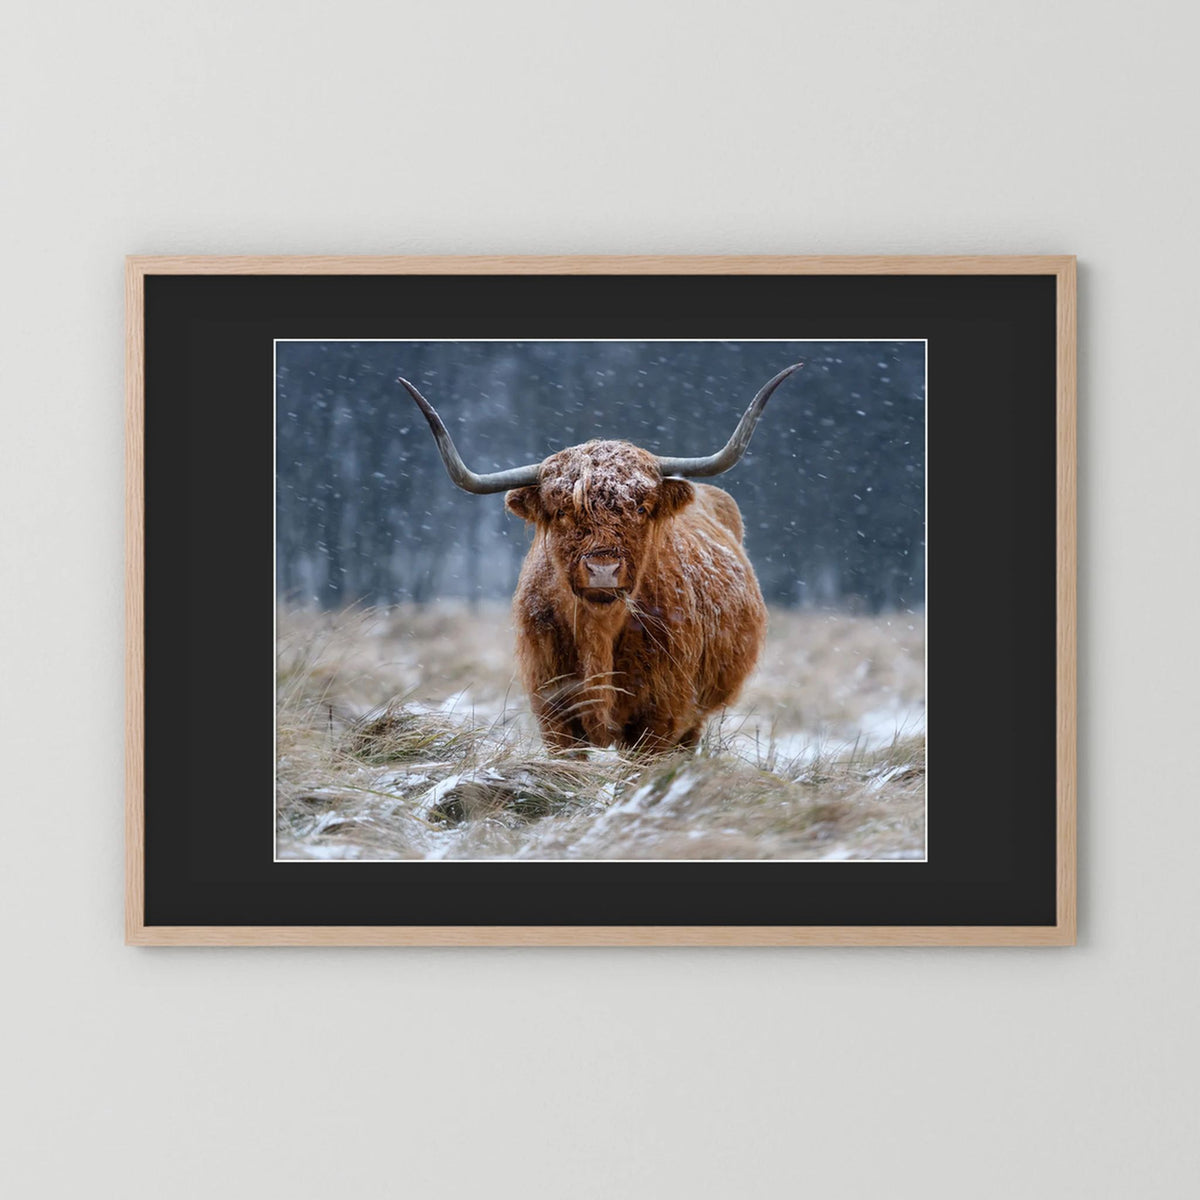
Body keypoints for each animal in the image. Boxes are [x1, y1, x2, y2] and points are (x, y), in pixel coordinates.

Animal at [398, 363, 803, 753]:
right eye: (562, 511)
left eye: (640, 508)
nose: (603, 569)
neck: (599, 632)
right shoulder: (554, 713)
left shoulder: (661, 717)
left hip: (694, 718)